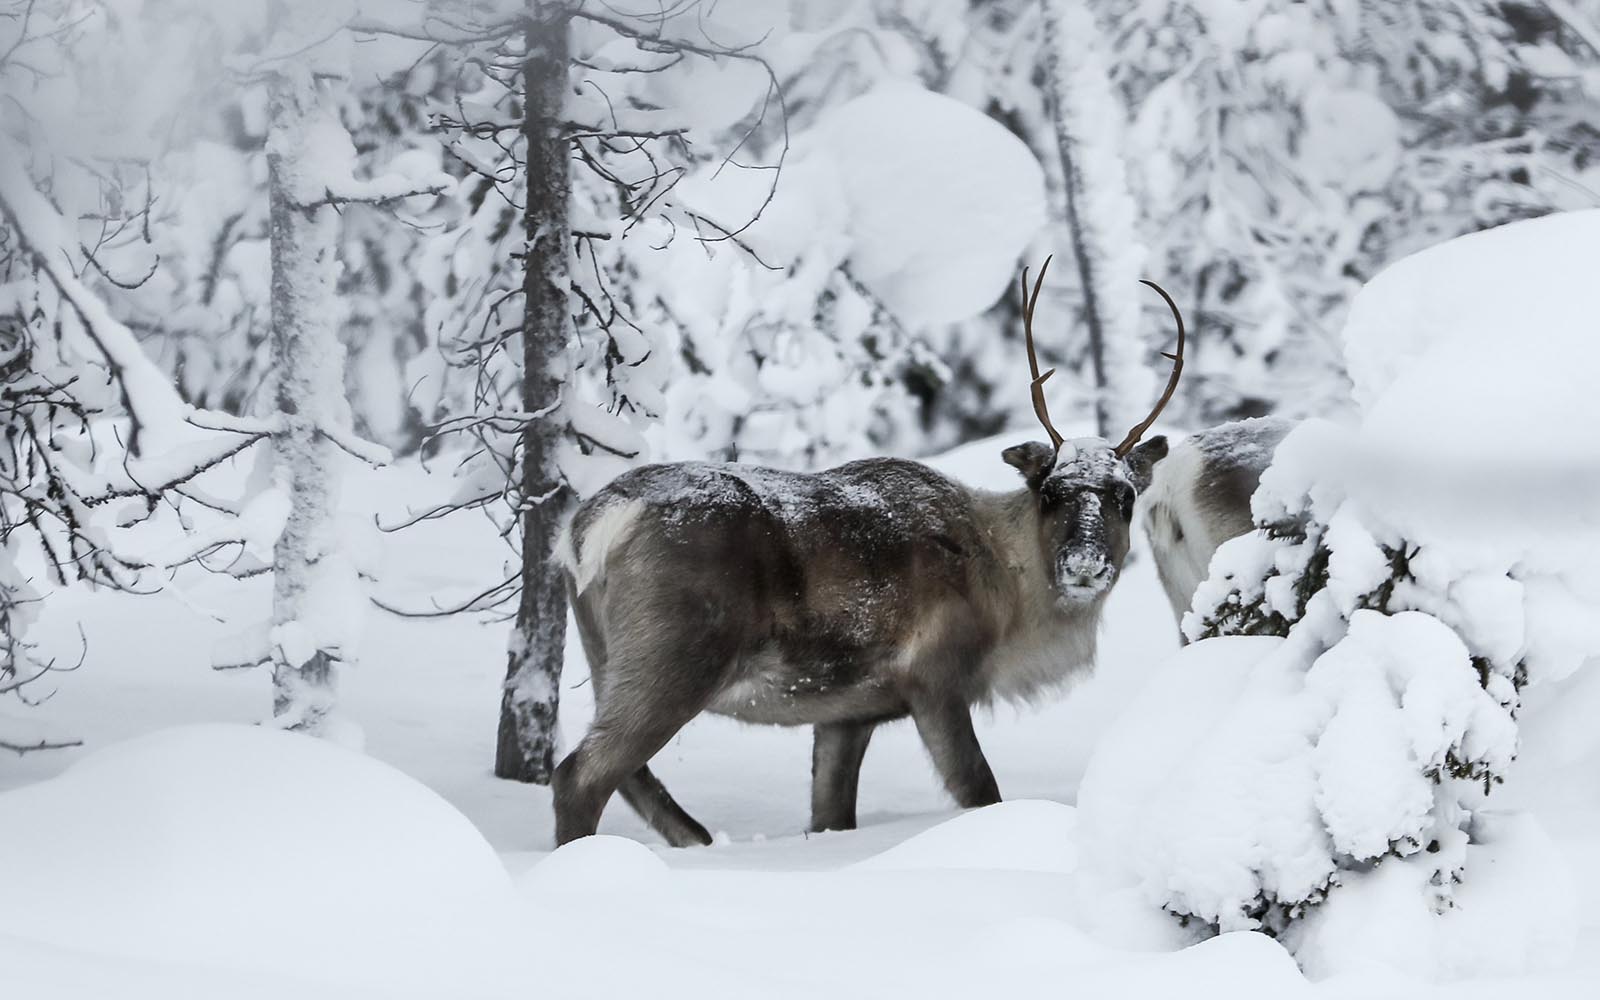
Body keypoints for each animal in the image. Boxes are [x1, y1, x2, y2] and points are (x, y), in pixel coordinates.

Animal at [551, 258, 1186, 847]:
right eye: (1051, 492)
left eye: (1125, 496)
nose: (1085, 565)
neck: (1005, 594)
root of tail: (594, 523)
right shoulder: (936, 677)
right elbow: (979, 790)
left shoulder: (848, 713)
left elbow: (831, 815)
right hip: (675, 655)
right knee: (579, 775)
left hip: (604, 652)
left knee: (628, 775)